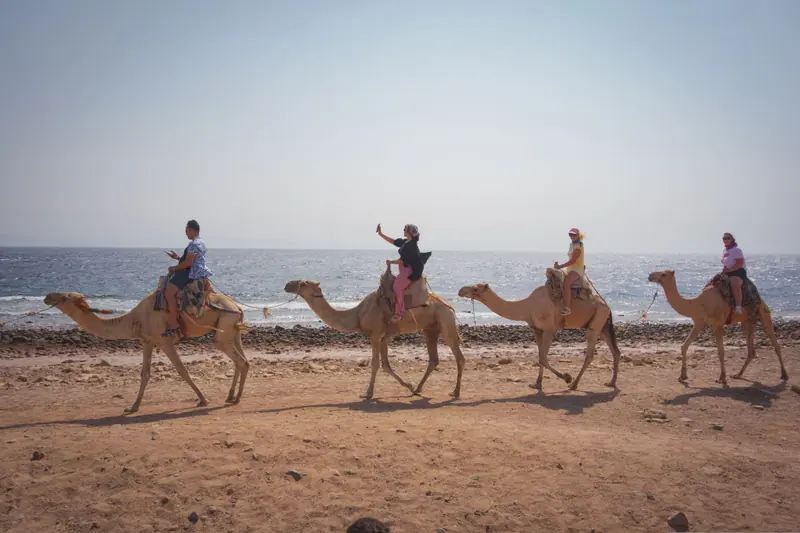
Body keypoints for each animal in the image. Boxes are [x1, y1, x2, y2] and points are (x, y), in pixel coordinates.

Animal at [43, 291, 250, 413]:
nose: (47, 296)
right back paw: (231, 396)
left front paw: (203, 399)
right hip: (233, 330)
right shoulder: (147, 341)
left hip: (224, 327)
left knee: (239, 359)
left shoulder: (165, 341)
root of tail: (237, 307)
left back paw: (237, 398)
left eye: (64, 297)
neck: (135, 319)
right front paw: (133, 406)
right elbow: (145, 373)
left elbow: (182, 370)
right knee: (243, 361)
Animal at [283, 280, 466, 399]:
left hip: (445, 319)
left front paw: (368, 393)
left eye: (304, 283)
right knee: (433, 359)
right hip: (430, 329)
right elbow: (386, 365)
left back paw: (455, 392)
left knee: (458, 356)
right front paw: (409, 386)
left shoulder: (376, 334)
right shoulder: (384, 336)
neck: (357, 314)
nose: (287, 285)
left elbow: (375, 364)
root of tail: (449, 306)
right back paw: (419, 389)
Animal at [457, 269, 621, 391]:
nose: (460, 290)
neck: (527, 306)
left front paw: (566, 377)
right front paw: (537, 383)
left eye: (475, 288)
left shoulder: (550, 329)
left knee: (590, 355)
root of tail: (607, 306)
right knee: (615, 351)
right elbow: (540, 356)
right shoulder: (537, 329)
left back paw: (574, 384)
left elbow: (543, 357)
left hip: (595, 324)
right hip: (603, 326)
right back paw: (611, 382)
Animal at [647, 270, 787, 387]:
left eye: (663, 274)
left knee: (775, 343)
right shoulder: (699, 323)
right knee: (751, 349)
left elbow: (721, 352)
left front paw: (723, 378)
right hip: (747, 321)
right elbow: (684, 346)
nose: (650, 276)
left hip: (763, 313)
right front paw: (683, 376)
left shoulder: (718, 324)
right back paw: (738, 374)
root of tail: (761, 299)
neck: (697, 304)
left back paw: (784, 374)